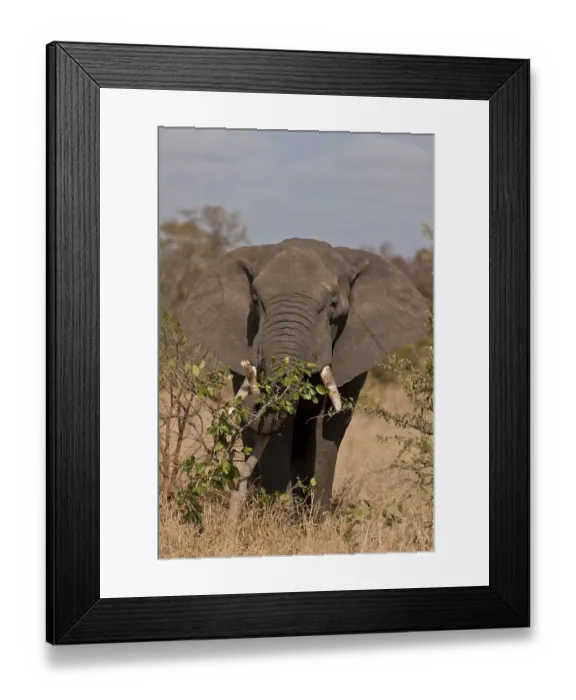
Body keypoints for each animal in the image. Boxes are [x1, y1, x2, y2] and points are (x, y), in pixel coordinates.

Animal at [179, 237, 429, 515]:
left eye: (334, 304)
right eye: (254, 300)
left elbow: (327, 429)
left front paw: (315, 521)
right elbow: (277, 434)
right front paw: (276, 517)